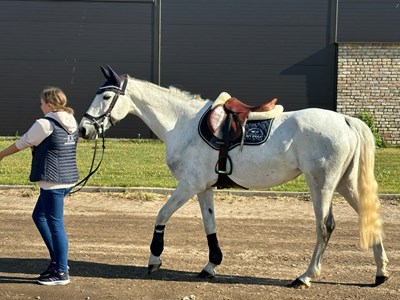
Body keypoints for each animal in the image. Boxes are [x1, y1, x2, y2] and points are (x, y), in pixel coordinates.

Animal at [79, 65, 390, 288]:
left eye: (106, 96)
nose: (83, 128)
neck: (183, 122)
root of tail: (347, 120)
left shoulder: (188, 185)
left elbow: (161, 215)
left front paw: (154, 259)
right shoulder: (204, 187)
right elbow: (210, 225)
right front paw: (210, 265)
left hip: (321, 184)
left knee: (325, 226)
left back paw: (305, 276)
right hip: (346, 184)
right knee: (369, 216)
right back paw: (381, 272)